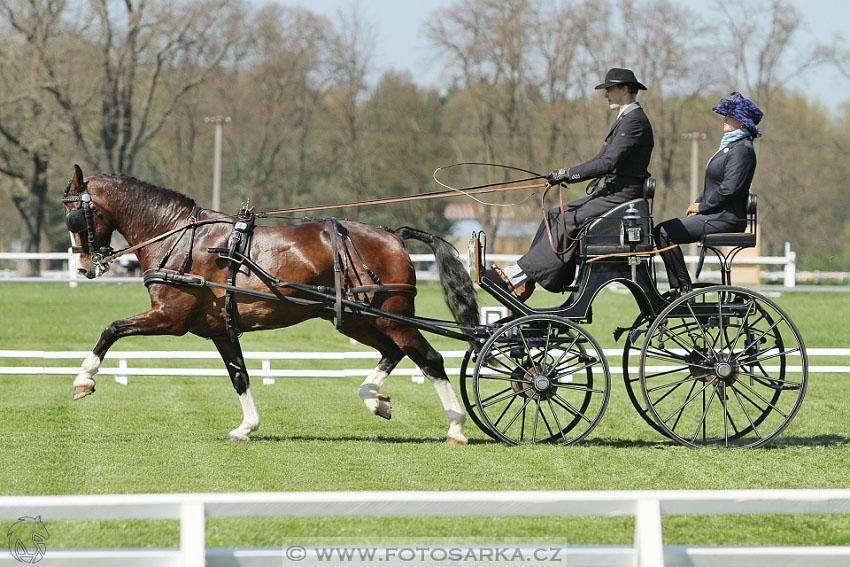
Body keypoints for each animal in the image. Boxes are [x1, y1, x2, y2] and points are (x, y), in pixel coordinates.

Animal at [61, 166, 476, 446]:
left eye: (75, 216)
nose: (82, 267)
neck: (177, 236)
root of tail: (393, 235)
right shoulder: (220, 331)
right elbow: (239, 376)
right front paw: (246, 427)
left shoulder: (170, 319)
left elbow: (111, 329)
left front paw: (84, 379)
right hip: (355, 320)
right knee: (394, 352)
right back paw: (375, 400)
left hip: (392, 317)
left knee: (429, 359)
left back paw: (456, 425)